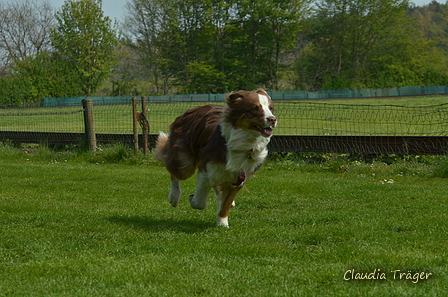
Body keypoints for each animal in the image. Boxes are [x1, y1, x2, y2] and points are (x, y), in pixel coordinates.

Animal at [154, 89, 276, 225]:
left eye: (271, 108)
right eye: (255, 108)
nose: (273, 119)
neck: (245, 143)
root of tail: (193, 109)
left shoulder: (241, 176)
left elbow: (226, 204)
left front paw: (222, 223)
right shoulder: (206, 166)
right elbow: (200, 201)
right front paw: (192, 199)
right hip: (184, 163)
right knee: (175, 173)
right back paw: (174, 197)